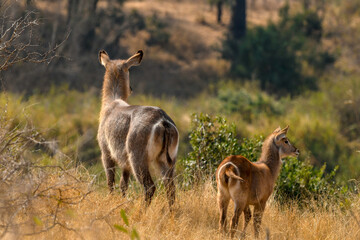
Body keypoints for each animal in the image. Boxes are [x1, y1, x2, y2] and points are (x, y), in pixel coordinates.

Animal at [97, 49, 179, 207]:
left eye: (128, 70)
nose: (131, 89)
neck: (112, 103)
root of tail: (163, 121)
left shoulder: (107, 153)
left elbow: (110, 182)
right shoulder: (125, 163)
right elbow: (123, 185)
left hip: (138, 159)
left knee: (149, 187)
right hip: (166, 161)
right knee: (170, 189)